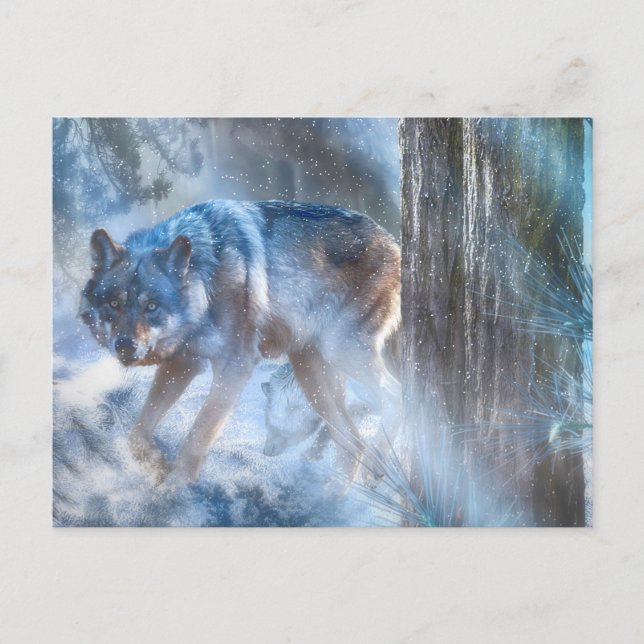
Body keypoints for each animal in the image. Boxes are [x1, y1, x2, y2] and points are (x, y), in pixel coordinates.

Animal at [80, 200, 401, 486]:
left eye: (151, 306)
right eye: (114, 303)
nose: (125, 346)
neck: (207, 278)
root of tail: (395, 244)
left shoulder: (235, 367)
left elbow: (198, 435)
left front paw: (175, 487)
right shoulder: (183, 363)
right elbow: (137, 433)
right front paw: (157, 466)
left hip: (341, 352)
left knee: (398, 398)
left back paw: (375, 466)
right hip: (312, 375)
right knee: (351, 443)